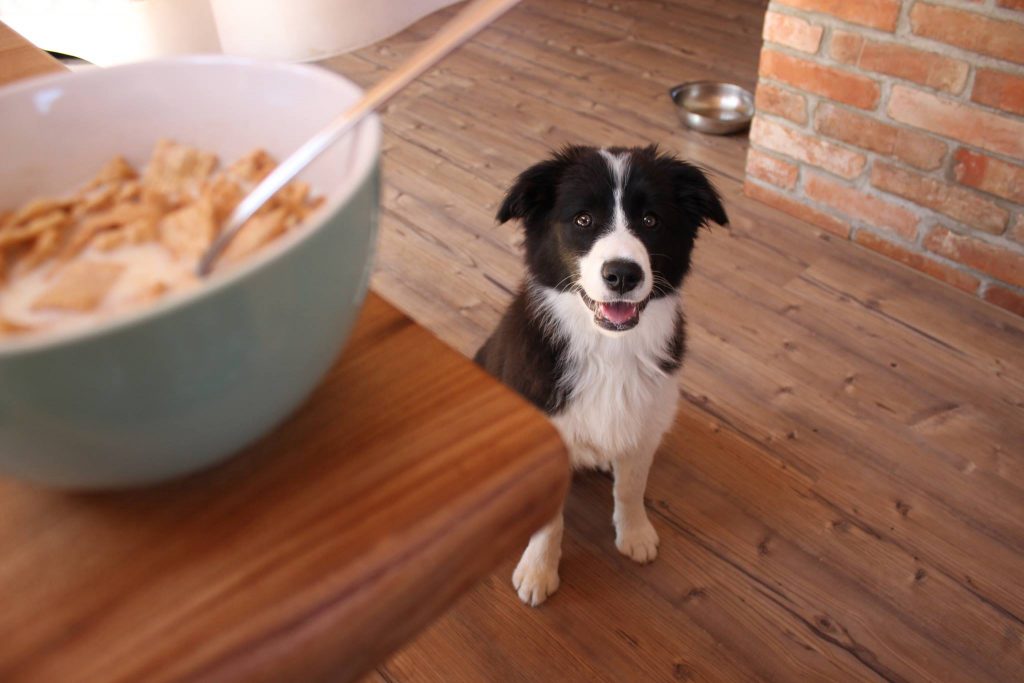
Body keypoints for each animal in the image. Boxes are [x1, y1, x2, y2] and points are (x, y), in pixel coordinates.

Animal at [473, 143, 729, 602]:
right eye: (583, 219)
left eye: (651, 220)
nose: (623, 274)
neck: (608, 349)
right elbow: (549, 521)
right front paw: (538, 571)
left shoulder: (645, 424)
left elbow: (631, 487)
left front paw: (636, 535)